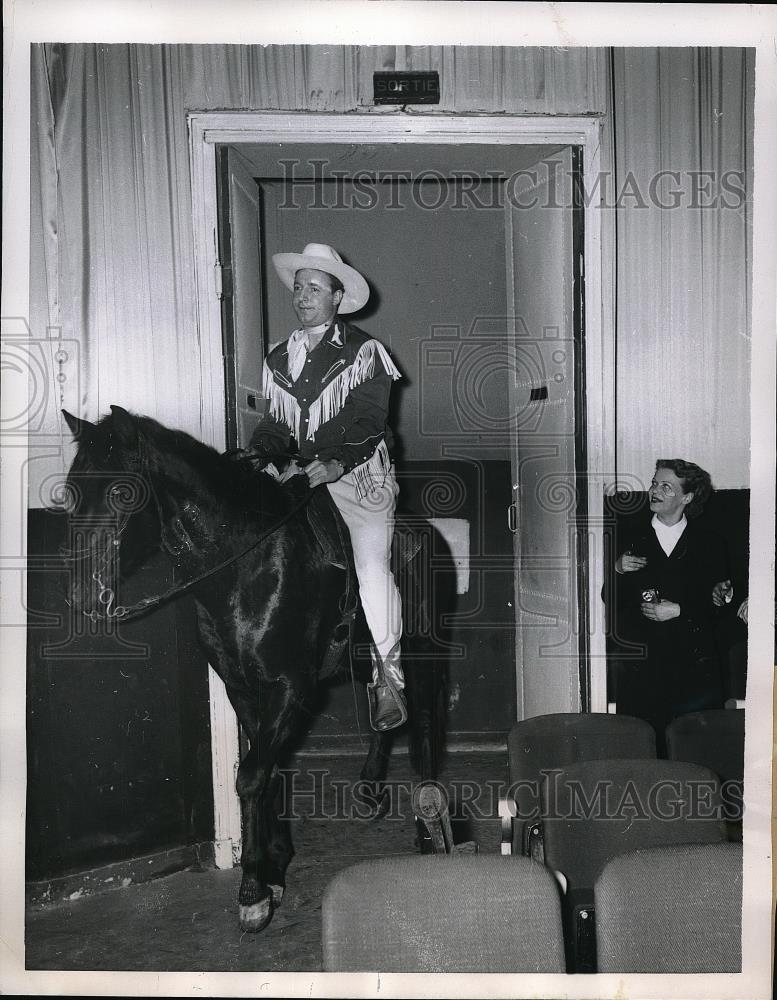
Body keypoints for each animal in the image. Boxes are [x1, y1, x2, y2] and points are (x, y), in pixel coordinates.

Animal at [62, 404, 442, 928]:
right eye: (69, 490)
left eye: (121, 492)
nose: (81, 595)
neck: (244, 565)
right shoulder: (242, 689)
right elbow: (270, 770)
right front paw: (275, 866)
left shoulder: (289, 688)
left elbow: (251, 776)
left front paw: (253, 892)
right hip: (361, 658)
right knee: (384, 712)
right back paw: (369, 790)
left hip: (421, 654)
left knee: (422, 727)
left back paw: (429, 829)